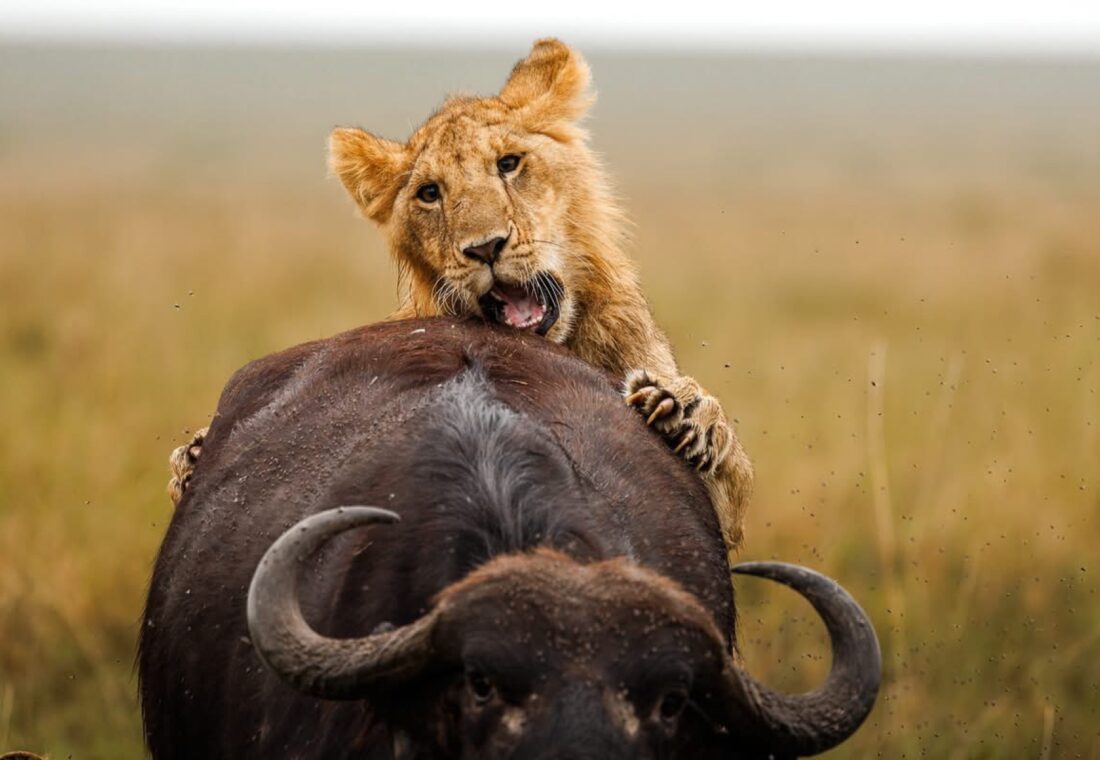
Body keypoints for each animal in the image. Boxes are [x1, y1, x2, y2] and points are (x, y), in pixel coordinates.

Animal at [168, 39, 753, 554]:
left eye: (509, 163)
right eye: (430, 194)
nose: (485, 247)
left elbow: (732, 473)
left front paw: (684, 409)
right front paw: (190, 458)